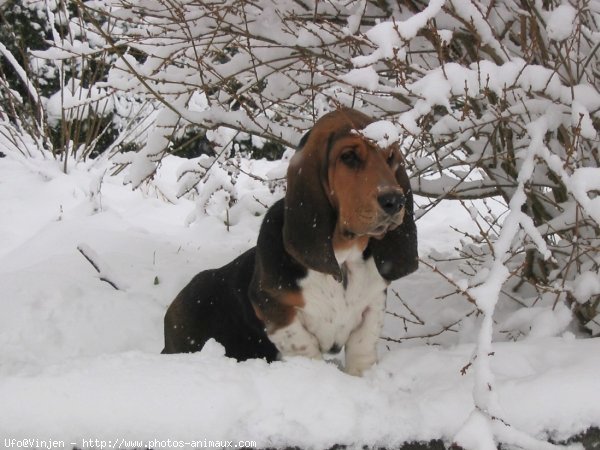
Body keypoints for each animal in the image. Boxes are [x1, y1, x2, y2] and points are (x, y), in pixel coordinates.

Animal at [162, 108, 420, 376]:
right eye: (348, 157)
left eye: (390, 157)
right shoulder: (276, 310)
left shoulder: (373, 303)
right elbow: (304, 347)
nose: (395, 201)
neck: (343, 257)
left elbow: (363, 347)